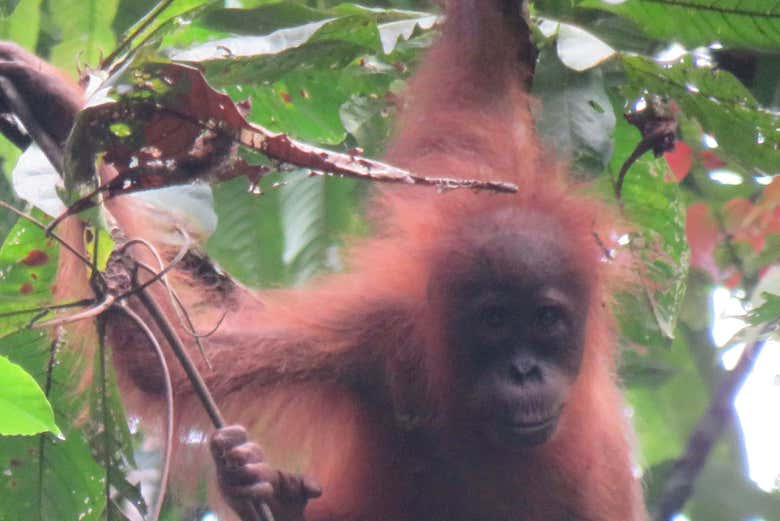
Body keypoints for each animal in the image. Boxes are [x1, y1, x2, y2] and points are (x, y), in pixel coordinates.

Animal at [0, 0, 646, 519]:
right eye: (493, 321)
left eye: (546, 320)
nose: (523, 370)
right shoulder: (375, 332)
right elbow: (165, 358)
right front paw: (59, 107)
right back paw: (261, 492)